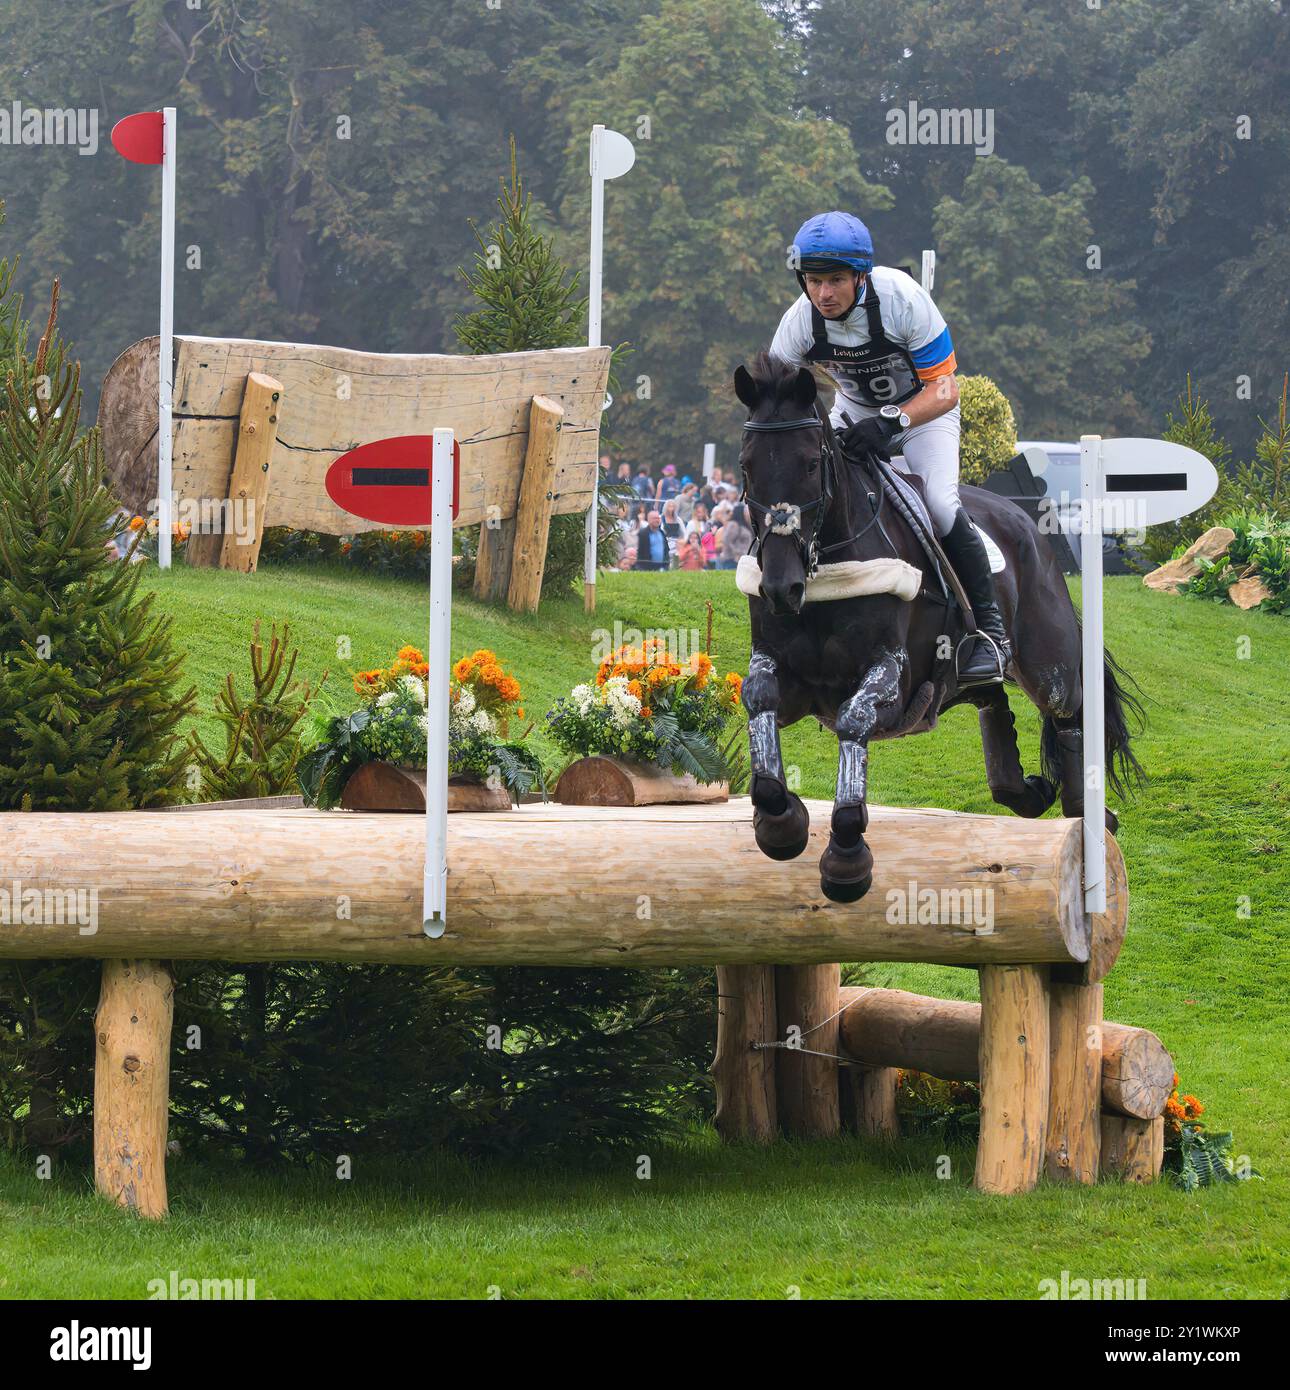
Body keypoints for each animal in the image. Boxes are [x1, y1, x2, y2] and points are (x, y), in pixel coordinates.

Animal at [728, 350, 1145, 900]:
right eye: (747, 466)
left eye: (812, 464)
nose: (780, 588)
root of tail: (1028, 520)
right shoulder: (786, 674)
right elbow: (759, 700)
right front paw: (780, 823)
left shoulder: (893, 676)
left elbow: (854, 720)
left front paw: (845, 857)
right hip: (963, 677)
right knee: (993, 702)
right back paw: (1027, 789)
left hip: (1047, 662)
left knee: (1069, 713)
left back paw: (1088, 818)